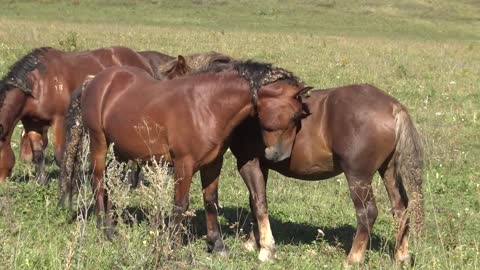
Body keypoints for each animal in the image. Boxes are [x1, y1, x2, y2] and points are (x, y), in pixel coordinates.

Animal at [0, 46, 165, 184]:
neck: (39, 84)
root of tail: (143, 61)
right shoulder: (32, 123)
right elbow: (38, 154)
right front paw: (41, 182)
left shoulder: (59, 120)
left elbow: (60, 157)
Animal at [72, 59, 310, 253]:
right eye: (295, 115)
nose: (279, 156)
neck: (206, 106)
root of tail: (96, 80)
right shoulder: (183, 165)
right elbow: (181, 204)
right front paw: (174, 246)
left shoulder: (213, 164)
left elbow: (211, 201)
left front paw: (217, 245)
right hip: (99, 142)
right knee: (98, 181)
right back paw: (105, 229)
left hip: (121, 151)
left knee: (112, 184)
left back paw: (113, 224)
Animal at [229, 84, 424, 264]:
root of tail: (394, 107)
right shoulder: (262, 165)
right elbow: (255, 201)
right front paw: (253, 243)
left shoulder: (248, 163)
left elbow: (258, 203)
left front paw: (264, 249)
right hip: (389, 170)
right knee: (400, 208)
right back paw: (402, 257)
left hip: (358, 176)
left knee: (367, 212)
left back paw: (353, 259)